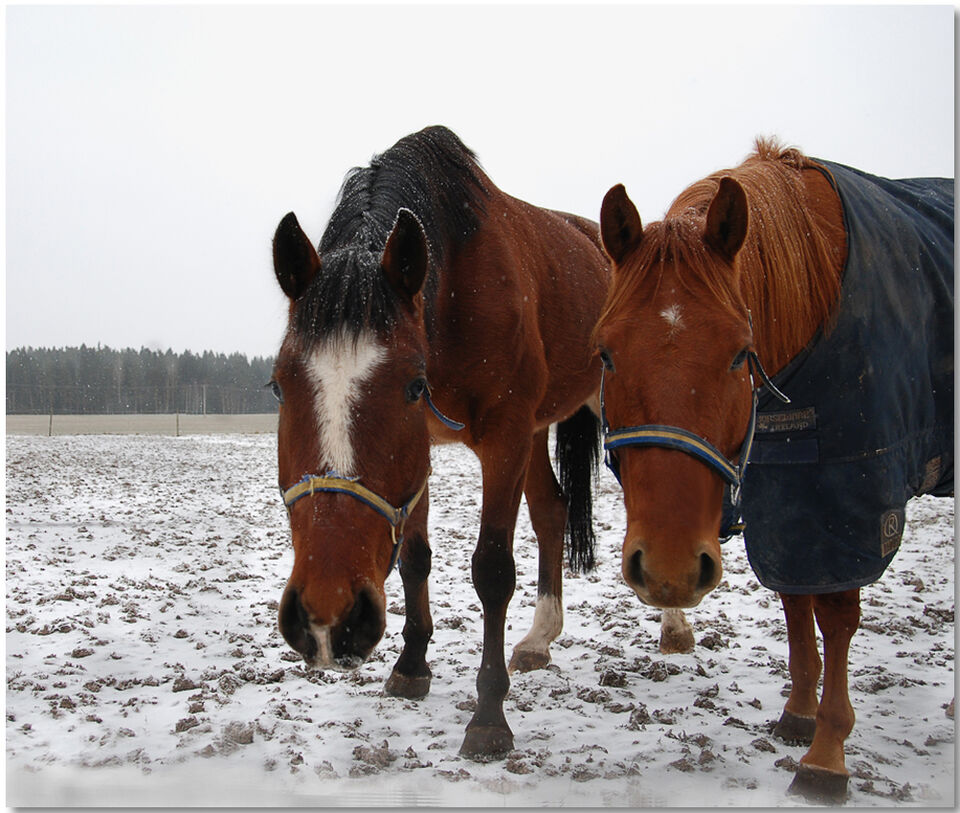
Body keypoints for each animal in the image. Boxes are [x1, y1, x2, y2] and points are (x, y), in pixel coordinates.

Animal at [268, 126, 611, 760]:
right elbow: (414, 559)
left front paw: (489, 717)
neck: (454, 287)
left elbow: (492, 570)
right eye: (278, 386)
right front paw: (411, 666)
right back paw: (540, 638)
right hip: (538, 430)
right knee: (552, 510)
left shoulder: (504, 438)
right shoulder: (427, 449)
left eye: (412, 385)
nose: (328, 618)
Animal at [593, 139, 953, 800]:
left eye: (741, 353)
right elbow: (794, 603)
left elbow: (835, 614)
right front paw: (797, 715)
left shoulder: (849, 501)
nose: (668, 573)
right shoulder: (782, 498)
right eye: (605, 353)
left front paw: (827, 755)